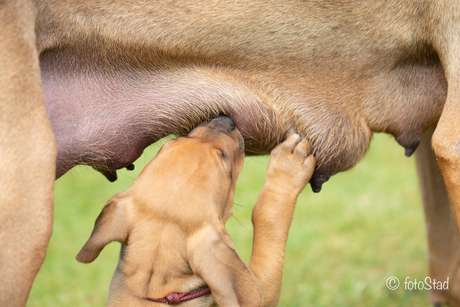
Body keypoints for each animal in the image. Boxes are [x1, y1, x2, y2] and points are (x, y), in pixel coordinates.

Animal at [75, 116, 316, 306]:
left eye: (173, 141)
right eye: (226, 164)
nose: (225, 119)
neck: (156, 286)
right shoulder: (262, 288)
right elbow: (268, 217)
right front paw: (289, 163)